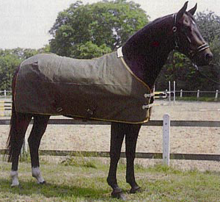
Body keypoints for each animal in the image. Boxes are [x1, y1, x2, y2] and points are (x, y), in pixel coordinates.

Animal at [6, 1, 212, 200]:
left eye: (196, 26)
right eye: (185, 27)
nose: (207, 56)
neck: (133, 67)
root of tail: (22, 65)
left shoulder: (134, 121)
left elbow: (130, 152)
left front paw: (134, 185)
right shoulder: (119, 120)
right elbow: (115, 153)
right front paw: (116, 188)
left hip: (42, 114)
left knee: (33, 141)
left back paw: (39, 178)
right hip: (25, 114)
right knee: (18, 141)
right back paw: (15, 180)